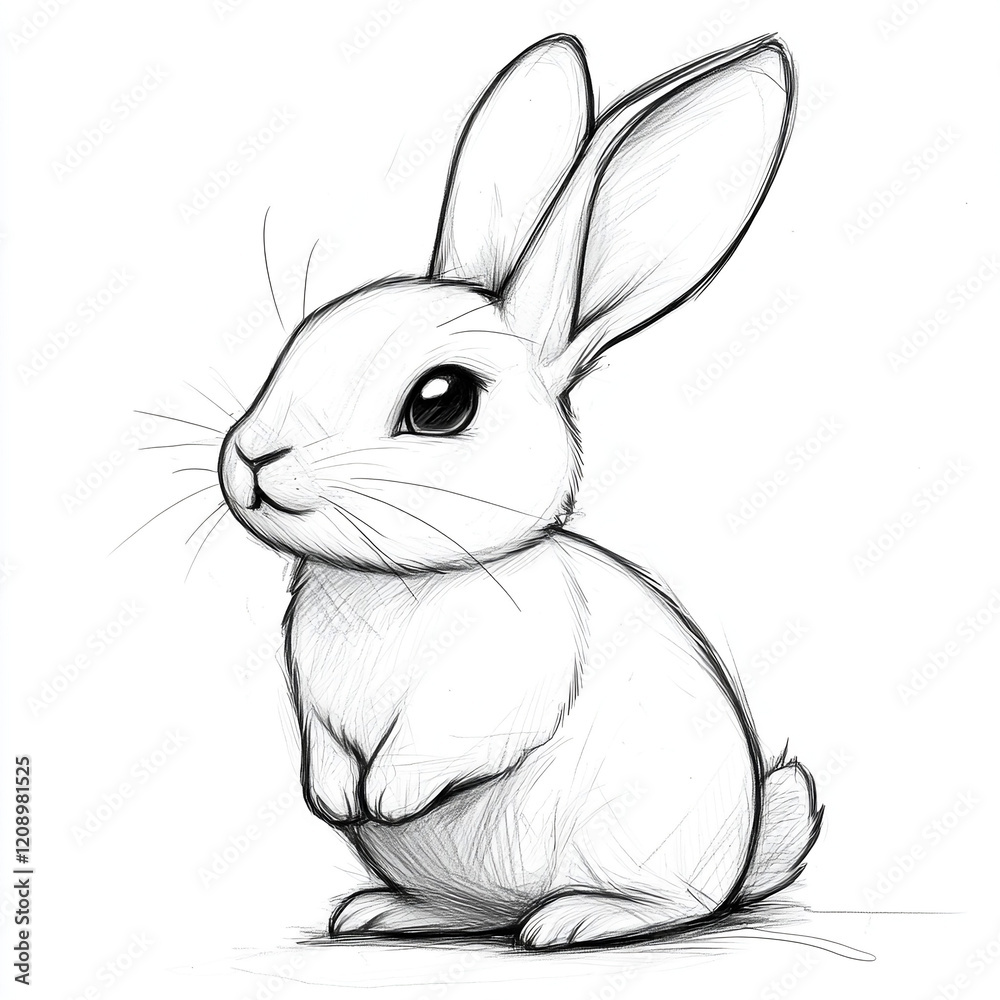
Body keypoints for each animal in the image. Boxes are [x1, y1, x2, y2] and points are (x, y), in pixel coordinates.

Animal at [217, 32, 822, 949]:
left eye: (441, 402)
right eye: (303, 339)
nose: (253, 459)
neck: (402, 583)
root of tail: (748, 851)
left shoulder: (499, 687)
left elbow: (444, 744)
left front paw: (383, 796)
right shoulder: (313, 708)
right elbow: (322, 749)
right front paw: (332, 798)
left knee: (674, 906)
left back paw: (571, 921)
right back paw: (381, 912)